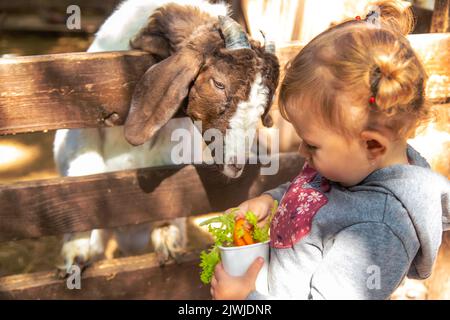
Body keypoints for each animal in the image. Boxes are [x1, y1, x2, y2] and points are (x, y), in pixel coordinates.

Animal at [54, 0, 280, 272]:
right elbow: (85, 171)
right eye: (219, 83)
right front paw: (75, 250)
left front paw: (166, 237)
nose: (237, 165)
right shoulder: (79, 129)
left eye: (265, 100)